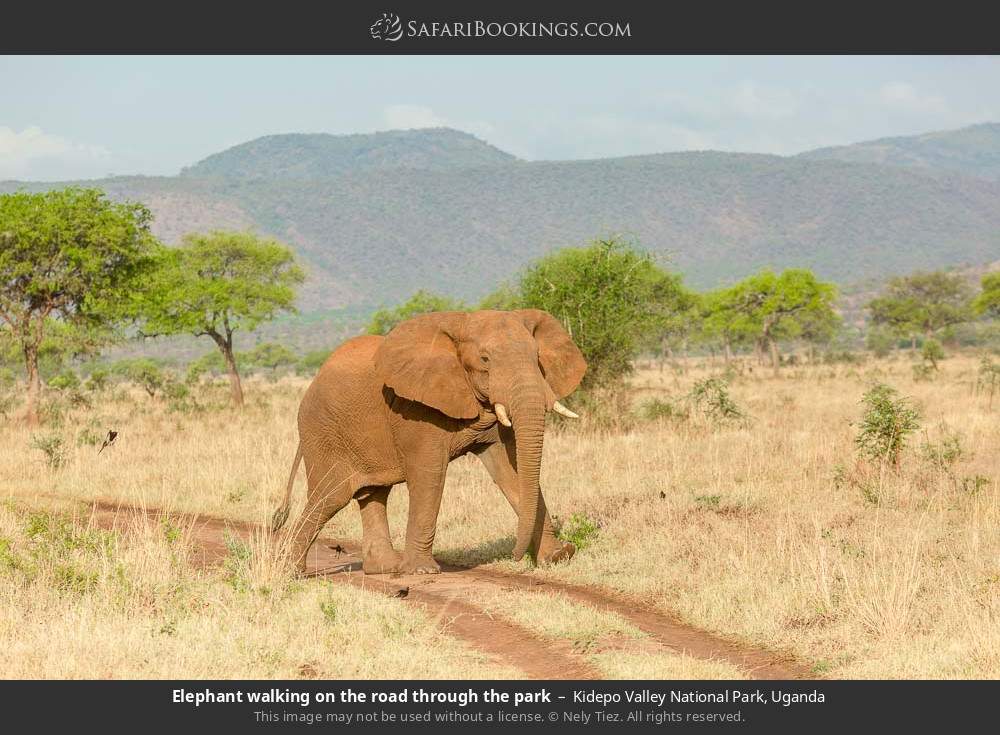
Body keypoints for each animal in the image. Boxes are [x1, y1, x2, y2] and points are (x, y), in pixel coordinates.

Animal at [270, 310, 588, 576]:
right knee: (329, 497)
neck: (462, 323)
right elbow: (429, 475)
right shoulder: (415, 408)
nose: (516, 556)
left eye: (537, 358)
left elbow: (512, 472)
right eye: (485, 360)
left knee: (373, 494)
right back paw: (290, 570)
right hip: (322, 431)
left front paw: (558, 556)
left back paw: (385, 568)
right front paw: (422, 571)